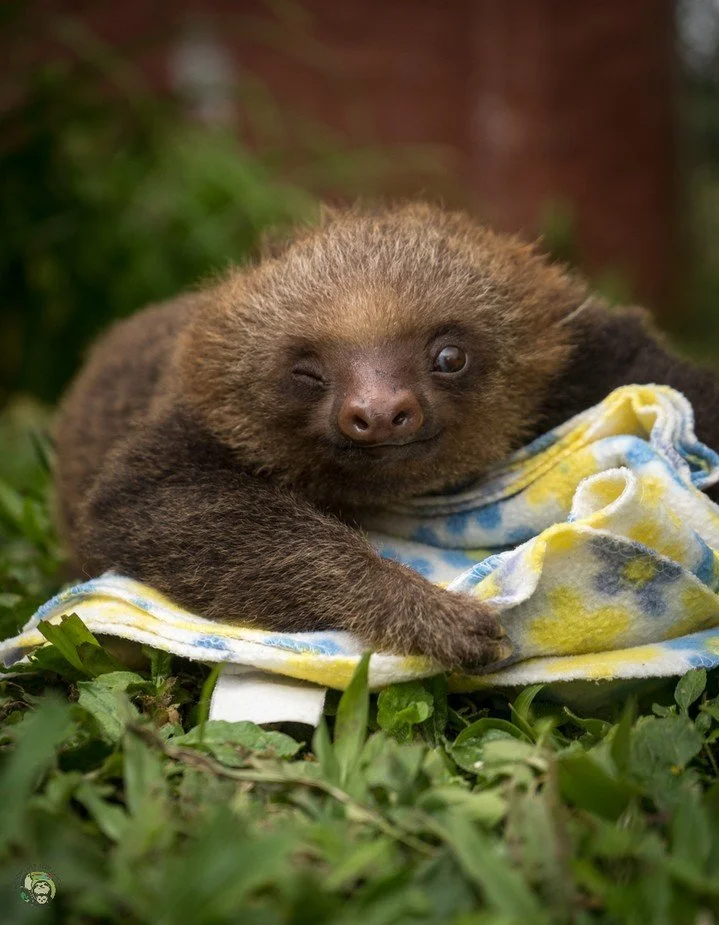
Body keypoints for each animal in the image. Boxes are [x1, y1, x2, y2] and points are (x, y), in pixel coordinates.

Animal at [53, 204, 719, 670]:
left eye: (449, 355)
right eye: (307, 373)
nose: (378, 411)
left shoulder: (582, 354)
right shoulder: (191, 415)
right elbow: (150, 501)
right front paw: (429, 611)